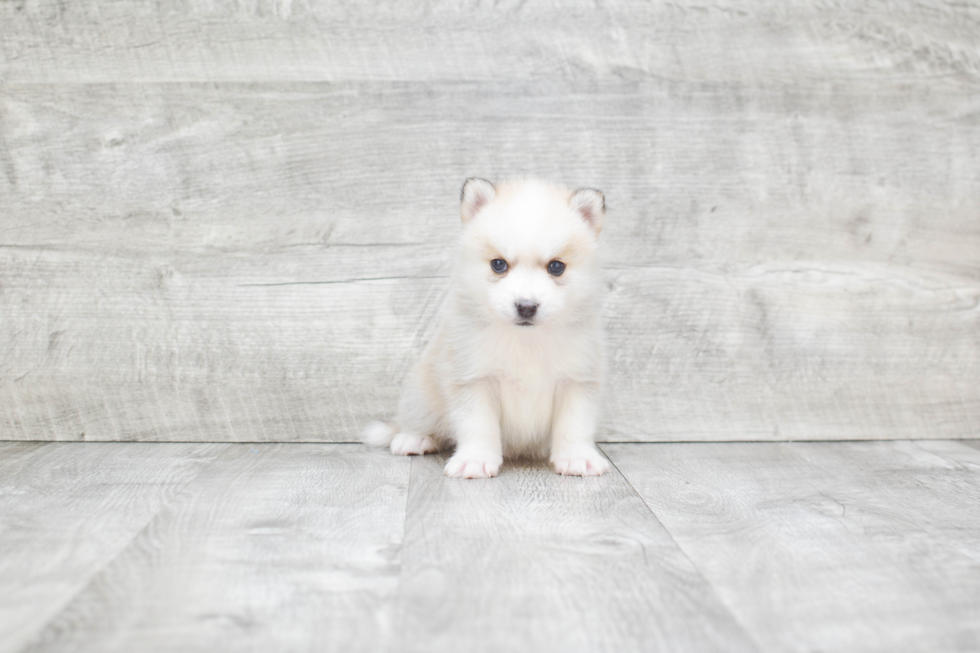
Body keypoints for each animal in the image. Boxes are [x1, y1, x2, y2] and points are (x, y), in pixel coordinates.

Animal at [364, 178, 608, 478]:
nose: (526, 307)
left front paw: (577, 458)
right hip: (421, 394)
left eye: (556, 267)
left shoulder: (577, 381)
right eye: (499, 264)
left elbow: (575, 426)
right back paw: (414, 438)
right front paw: (475, 460)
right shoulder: (473, 380)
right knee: (415, 420)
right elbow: (478, 426)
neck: (525, 341)